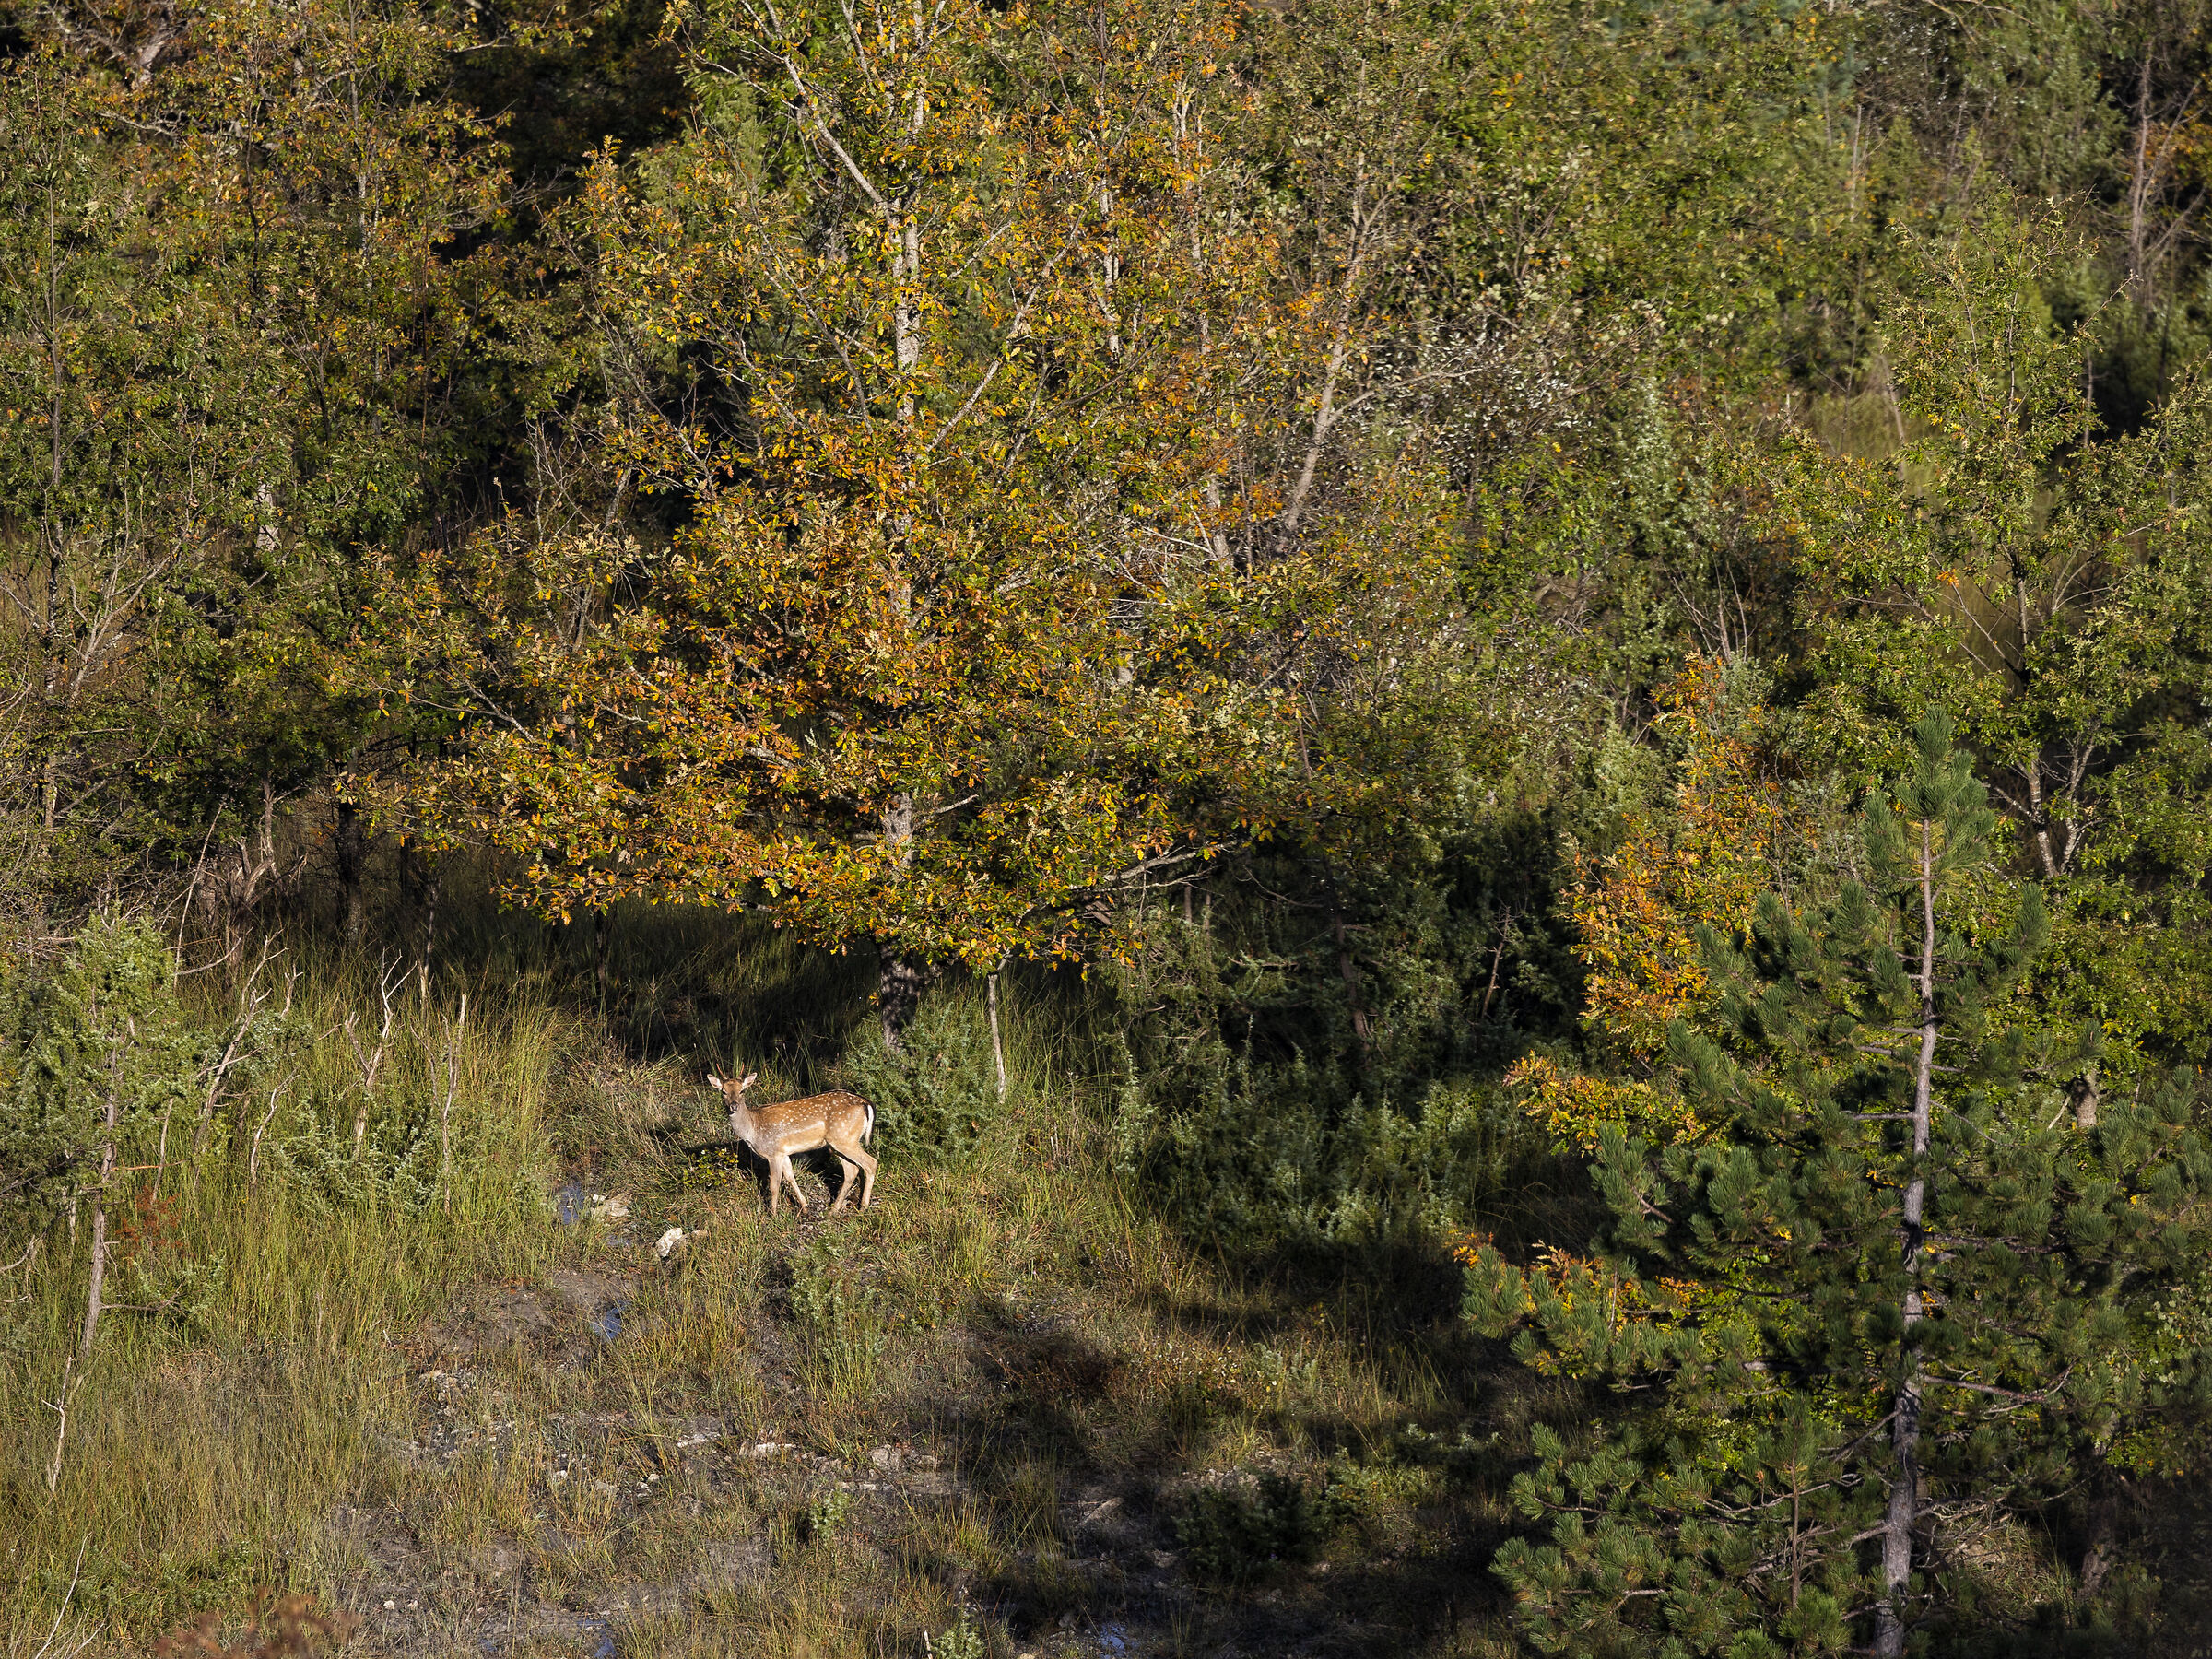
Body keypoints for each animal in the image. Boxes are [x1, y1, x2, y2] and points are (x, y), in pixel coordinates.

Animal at [705, 1071, 879, 1217]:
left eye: (742, 1091)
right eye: (723, 1092)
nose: (733, 1105)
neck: (752, 1131)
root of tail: (866, 1103)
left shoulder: (773, 1152)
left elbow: (774, 1185)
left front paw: (773, 1215)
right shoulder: (784, 1153)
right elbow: (790, 1177)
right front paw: (805, 1207)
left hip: (844, 1139)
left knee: (871, 1163)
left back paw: (863, 1208)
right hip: (838, 1143)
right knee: (852, 1170)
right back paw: (833, 1210)